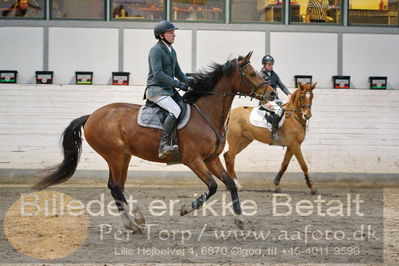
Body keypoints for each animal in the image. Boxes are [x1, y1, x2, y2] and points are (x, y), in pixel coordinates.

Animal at [33, 51, 276, 231]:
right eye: (252, 73)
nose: (272, 94)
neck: (207, 112)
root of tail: (91, 115)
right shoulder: (193, 160)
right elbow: (213, 186)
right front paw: (186, 208)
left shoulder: (211, 159)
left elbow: (230, 184)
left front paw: (240, 219)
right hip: (114, 154)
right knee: (115, 186)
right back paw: (135, 220)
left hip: (124, 156)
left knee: (116, 186)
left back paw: (132, 223)